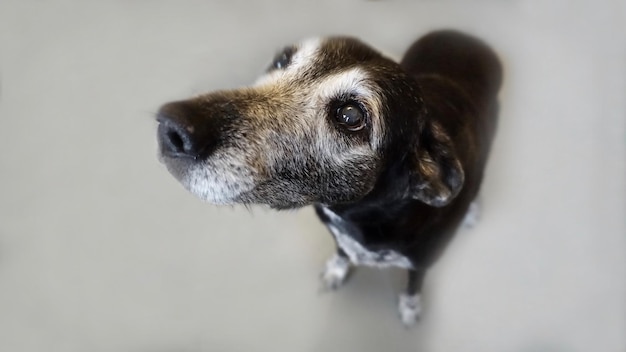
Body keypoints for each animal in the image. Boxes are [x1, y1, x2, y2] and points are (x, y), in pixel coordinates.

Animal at [156, 28, 502, 326]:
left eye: (350, 115)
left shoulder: (422, 263)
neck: (366, 216)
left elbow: (413, 286)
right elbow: (341, 253)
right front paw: (337, 271)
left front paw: (409, 308)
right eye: (281, 59)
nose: (171, 128)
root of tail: (468, 37)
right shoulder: (339, 235)